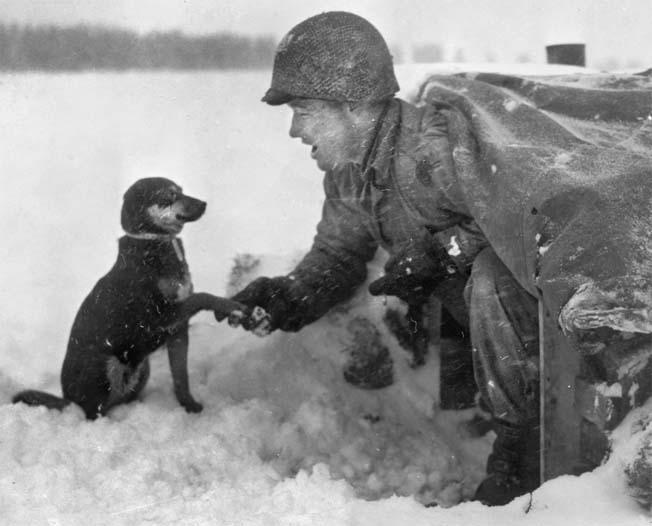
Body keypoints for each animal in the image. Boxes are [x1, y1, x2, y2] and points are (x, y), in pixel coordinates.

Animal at [12, 177, 244, 420]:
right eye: (168, 195)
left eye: (181, 191)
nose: (204, 204)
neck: (156, 242)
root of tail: (69, 400)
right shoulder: (161, 315)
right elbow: (202, 296)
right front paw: (231, 305)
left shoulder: (178, 330)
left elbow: (181, 376)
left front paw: (189, 406)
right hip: (104, 365)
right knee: (93, 411)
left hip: (142, 367)